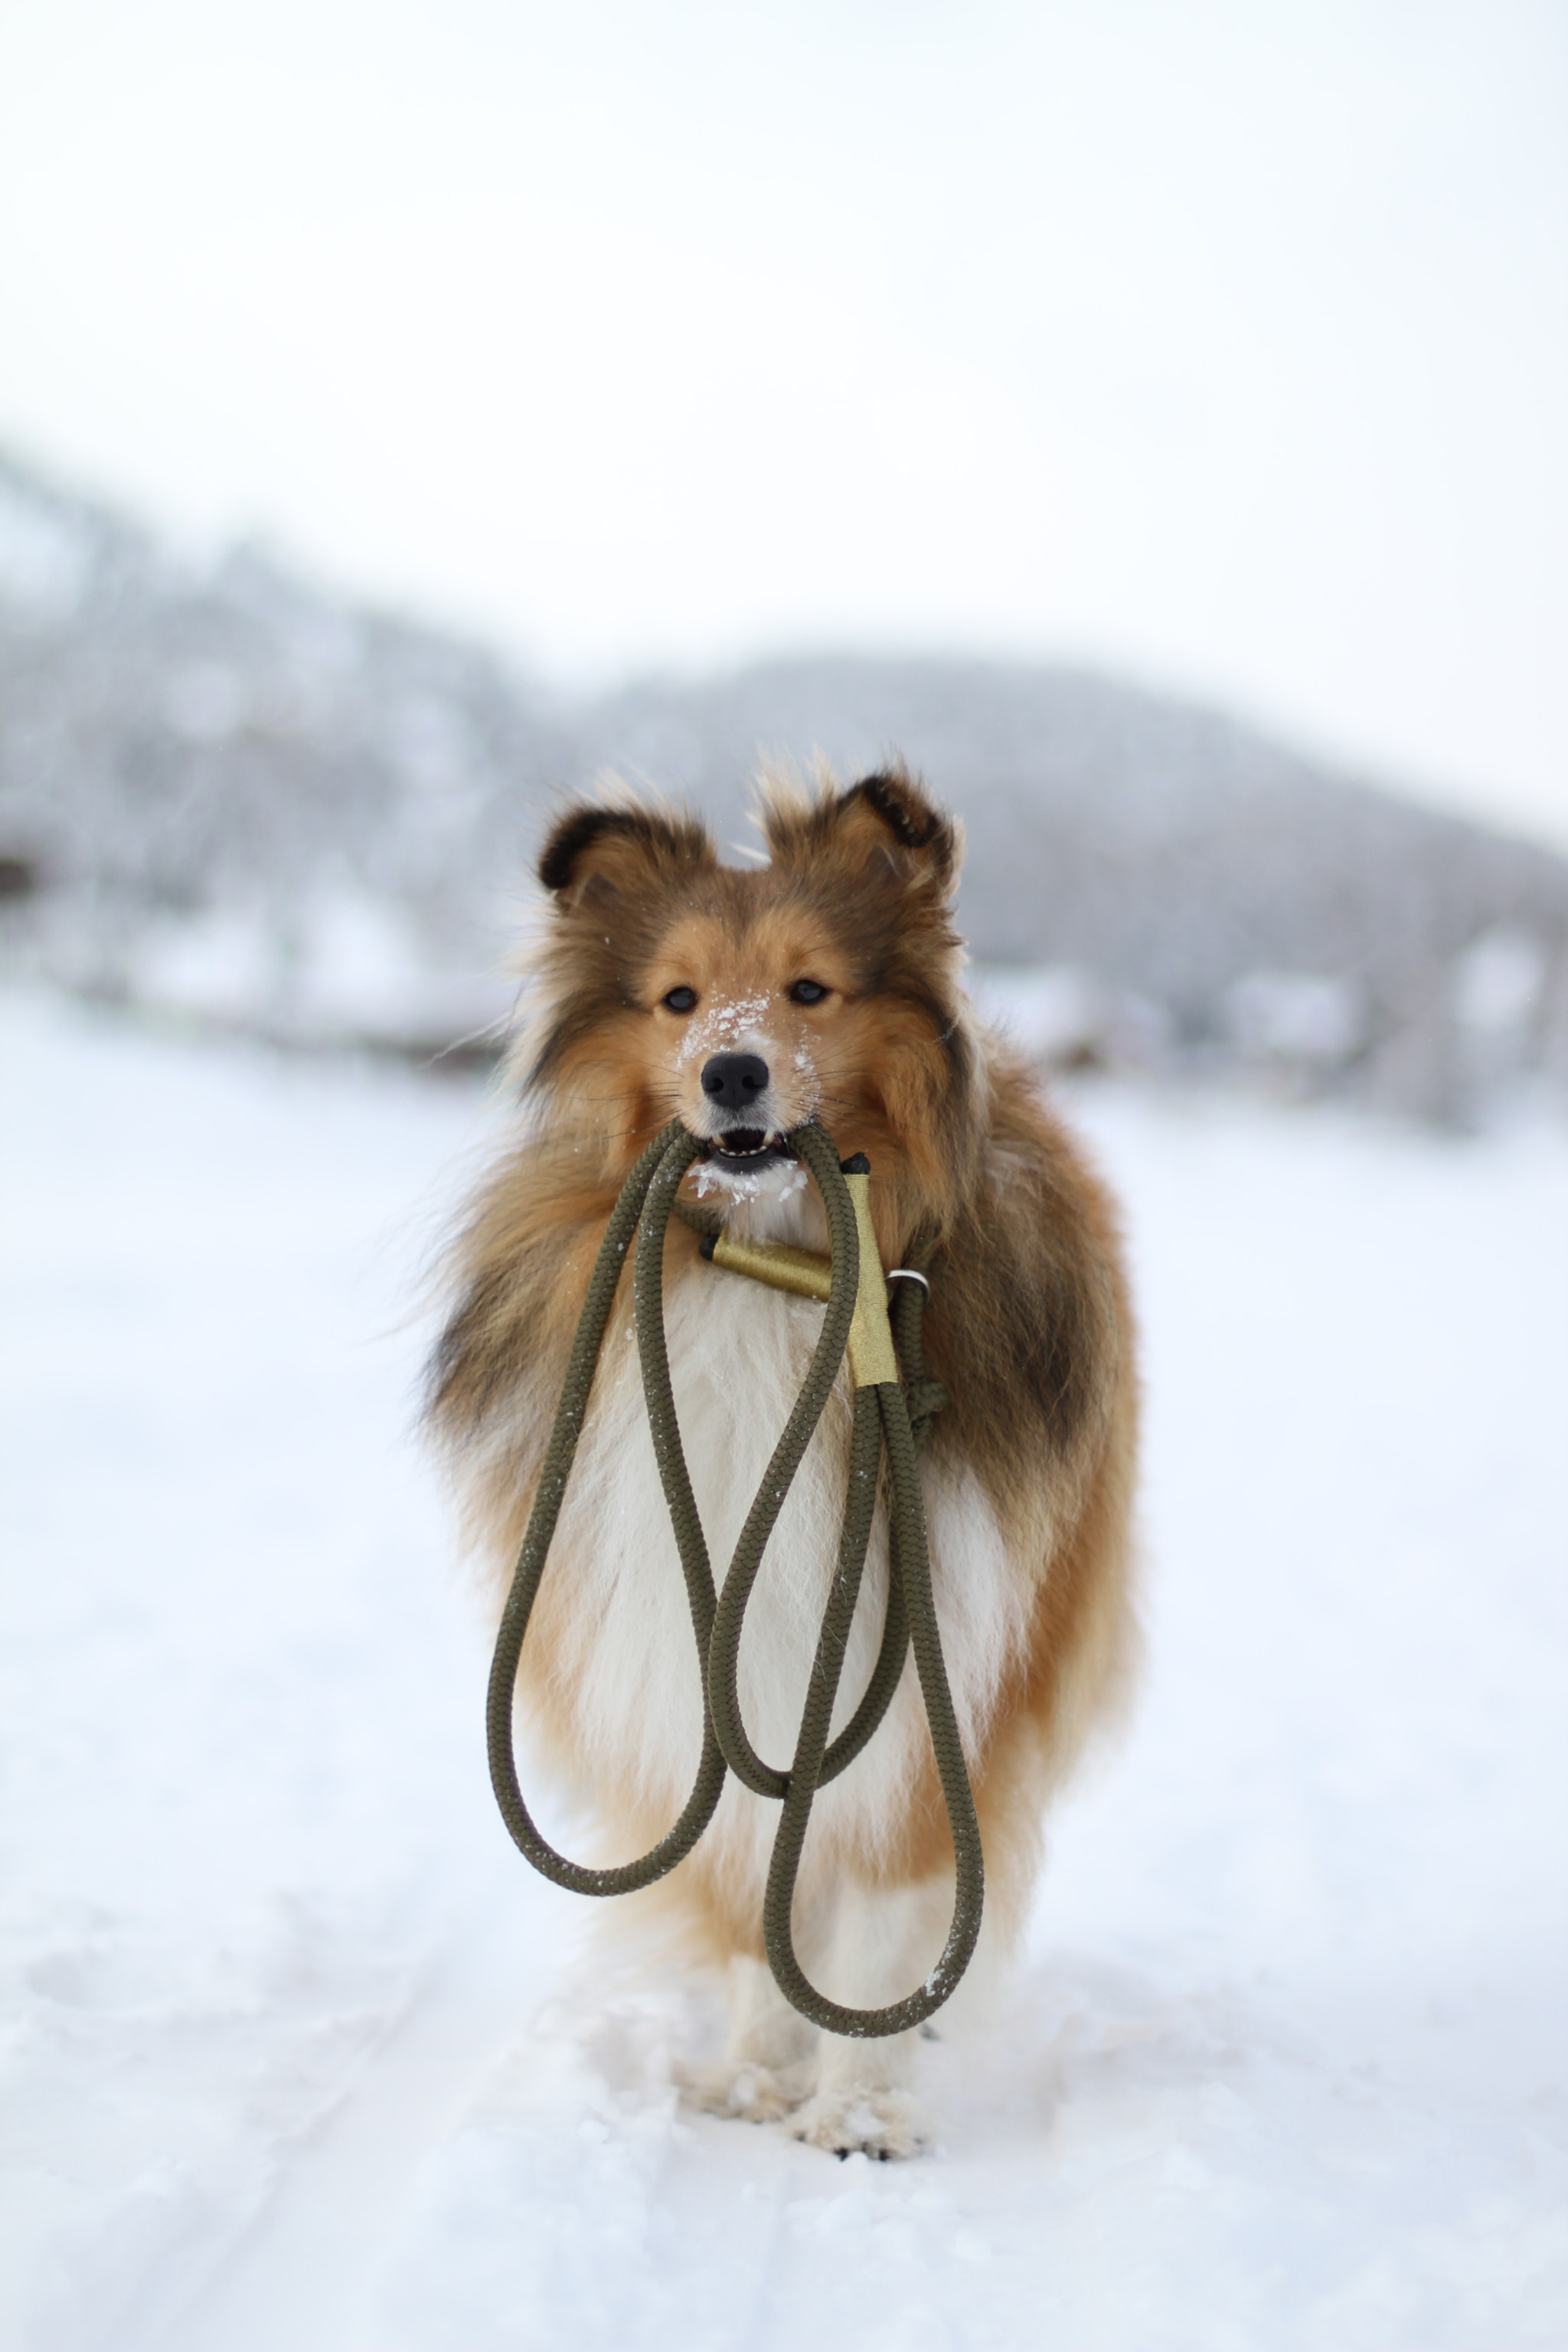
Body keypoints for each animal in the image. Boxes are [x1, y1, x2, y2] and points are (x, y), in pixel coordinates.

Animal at [430, 762, 1142, 2154]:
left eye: (811, 988)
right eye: (677, 998)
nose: (733, 1075)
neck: (777, 1272)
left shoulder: (934, 1675)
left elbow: (882, 1912)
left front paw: (858, 2105)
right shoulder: (706, 1658)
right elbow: (757, 1886)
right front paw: (759, 2077)